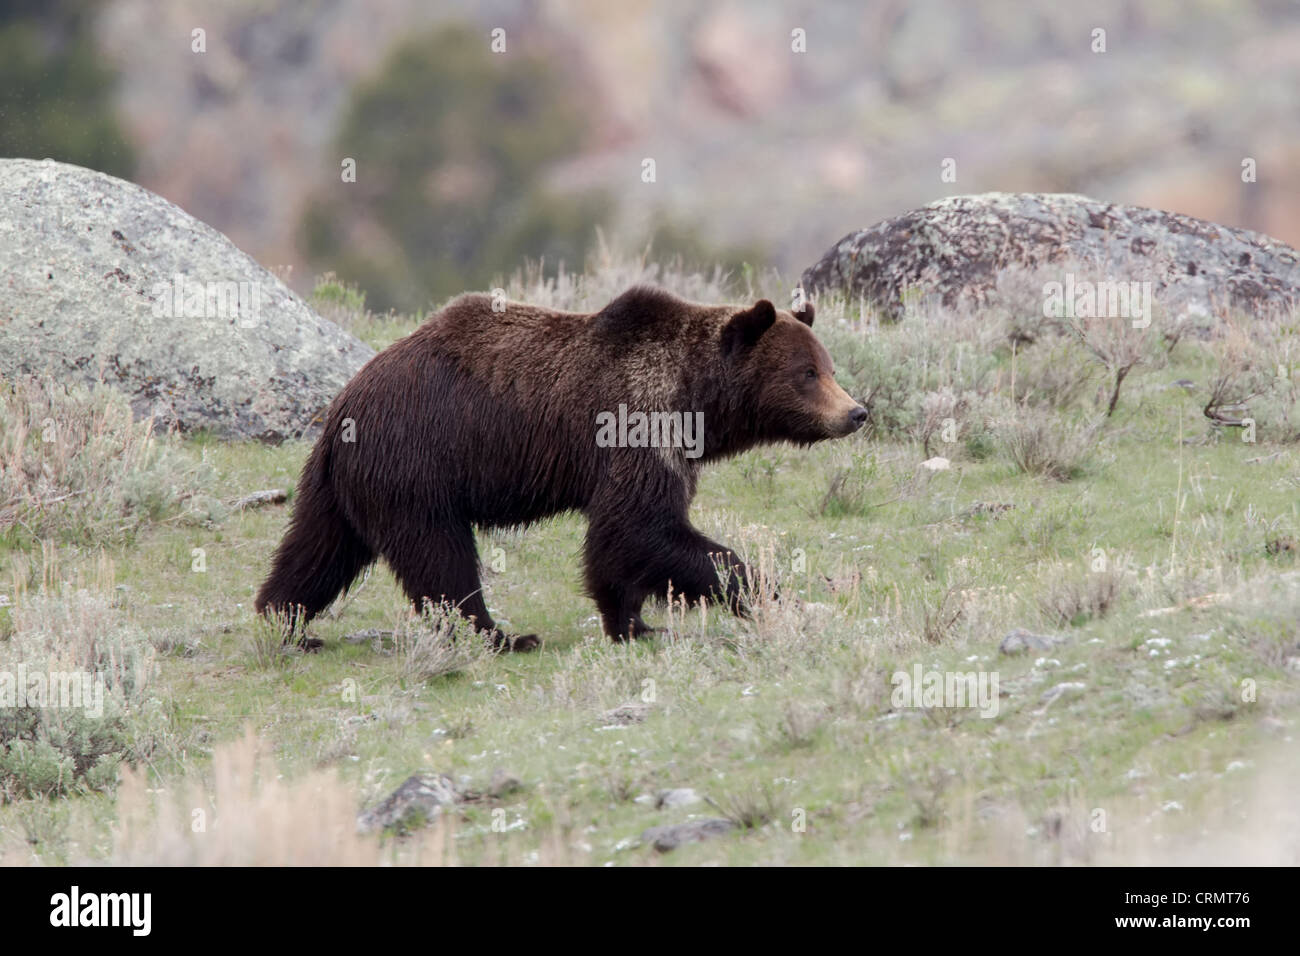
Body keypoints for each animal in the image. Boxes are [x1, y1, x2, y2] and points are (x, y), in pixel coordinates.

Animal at [253, 286, 863, 650]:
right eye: (806, 372)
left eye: (829, 366)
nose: (855, 412)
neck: (695, 398)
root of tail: (343, 403)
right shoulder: (636, 423)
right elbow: (640, 529)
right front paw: (769, 593)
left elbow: (628, 544)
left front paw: (635, 622)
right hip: (416, 466)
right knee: (439, 557)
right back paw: (499, 635)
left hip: (343, 483)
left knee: (318, 549)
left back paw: (285, 621)